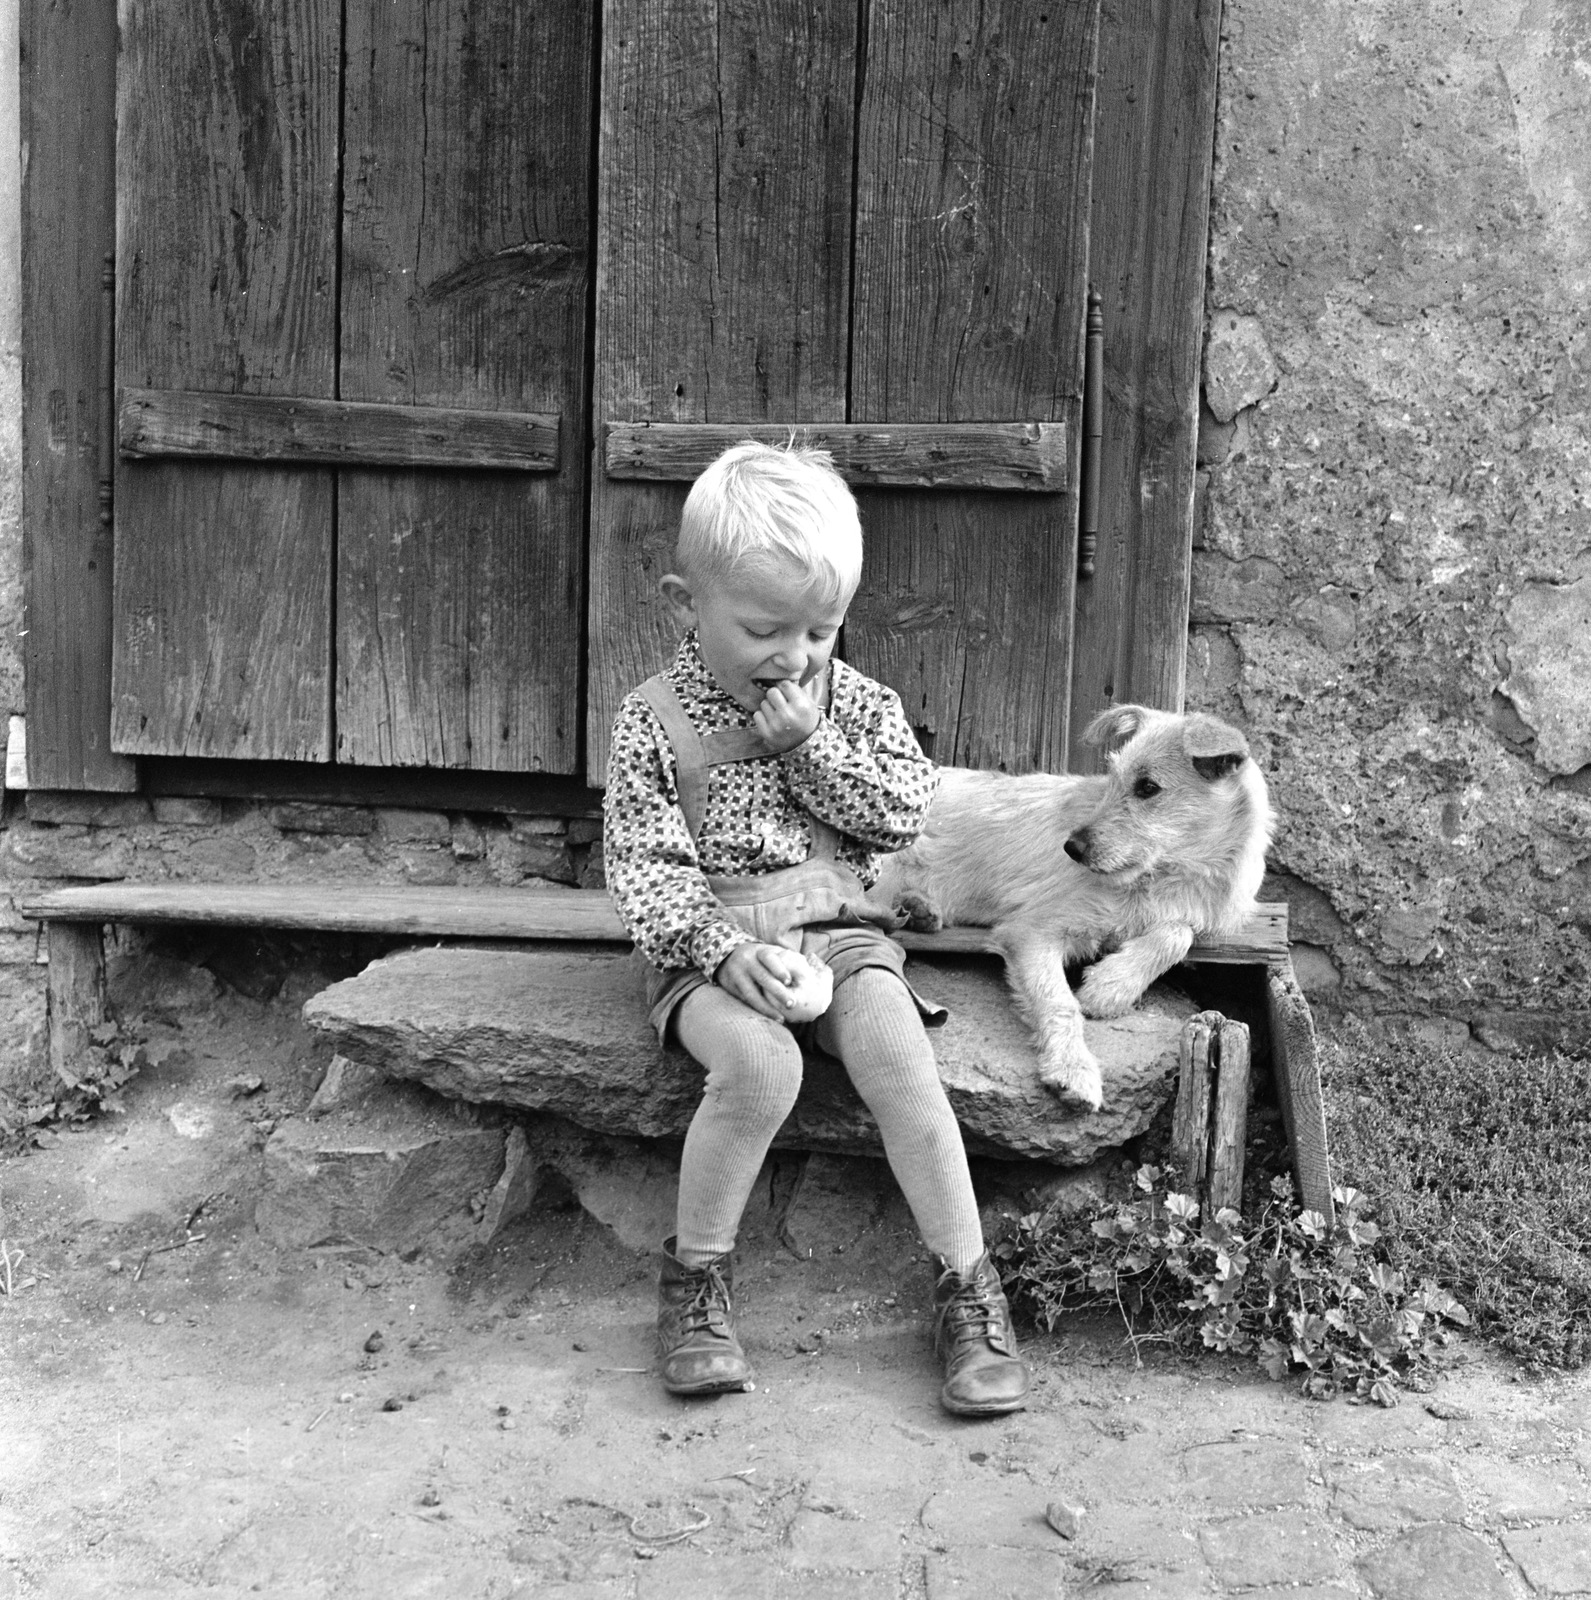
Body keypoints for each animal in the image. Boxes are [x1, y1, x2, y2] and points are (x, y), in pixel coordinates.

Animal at [877, 707, 1274, 1120]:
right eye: (1113, 780)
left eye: (1148, 787)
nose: (1072, 848)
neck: (1172, 876)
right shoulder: (1031, 931)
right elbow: (1060, 1002)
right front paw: (1073, 1067)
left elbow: (1177, 933)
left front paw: (1110, 986)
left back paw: (919, 910)